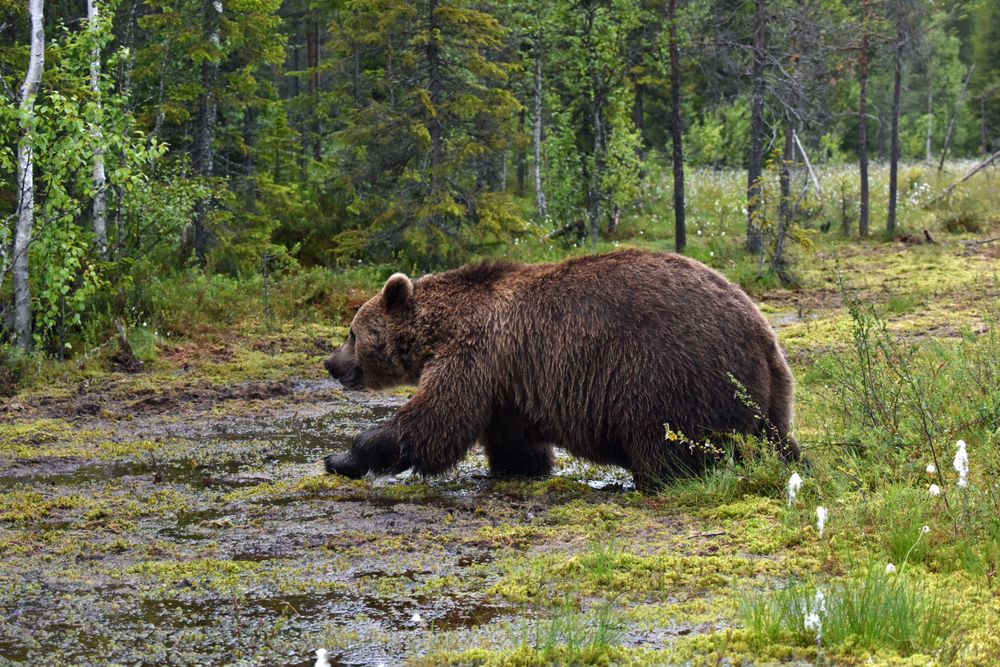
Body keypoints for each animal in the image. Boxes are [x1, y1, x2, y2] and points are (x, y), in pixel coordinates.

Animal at [324, 250, 800, 490]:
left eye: (352, 332)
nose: (331, 364)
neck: (441, 329)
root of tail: (763, 338)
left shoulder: (475, 353)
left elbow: (436, 420)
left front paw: (343, 456)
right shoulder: (507, 382)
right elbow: (514, 442)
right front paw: (518, 467)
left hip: (667, 377)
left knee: (668, 449)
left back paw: (650, 480)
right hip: (766, 393)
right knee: (777, 438)